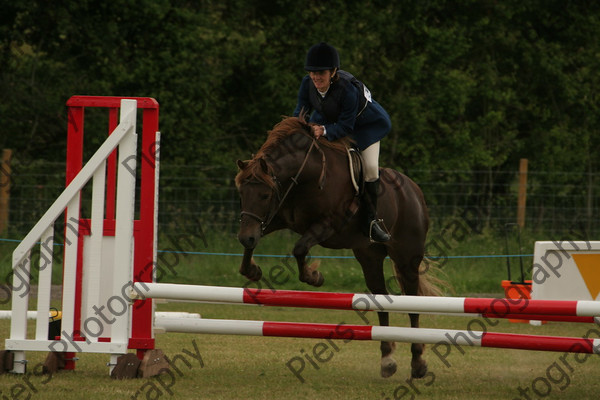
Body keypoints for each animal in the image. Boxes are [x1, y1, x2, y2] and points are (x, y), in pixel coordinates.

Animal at [234, 115, 440, 378]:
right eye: (242, 193)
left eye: (264, 195)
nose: (245, 237)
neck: (305, 174)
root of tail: (413, 189)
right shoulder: (277, 217)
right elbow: (258, 239)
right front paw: (252, 270)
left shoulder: (326, 225)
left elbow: (299, 249)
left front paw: (314, 277)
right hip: (369, 257)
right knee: (381, 297)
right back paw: (387, 360)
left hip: (407, 258)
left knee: (413, 304)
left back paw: (418, 364)